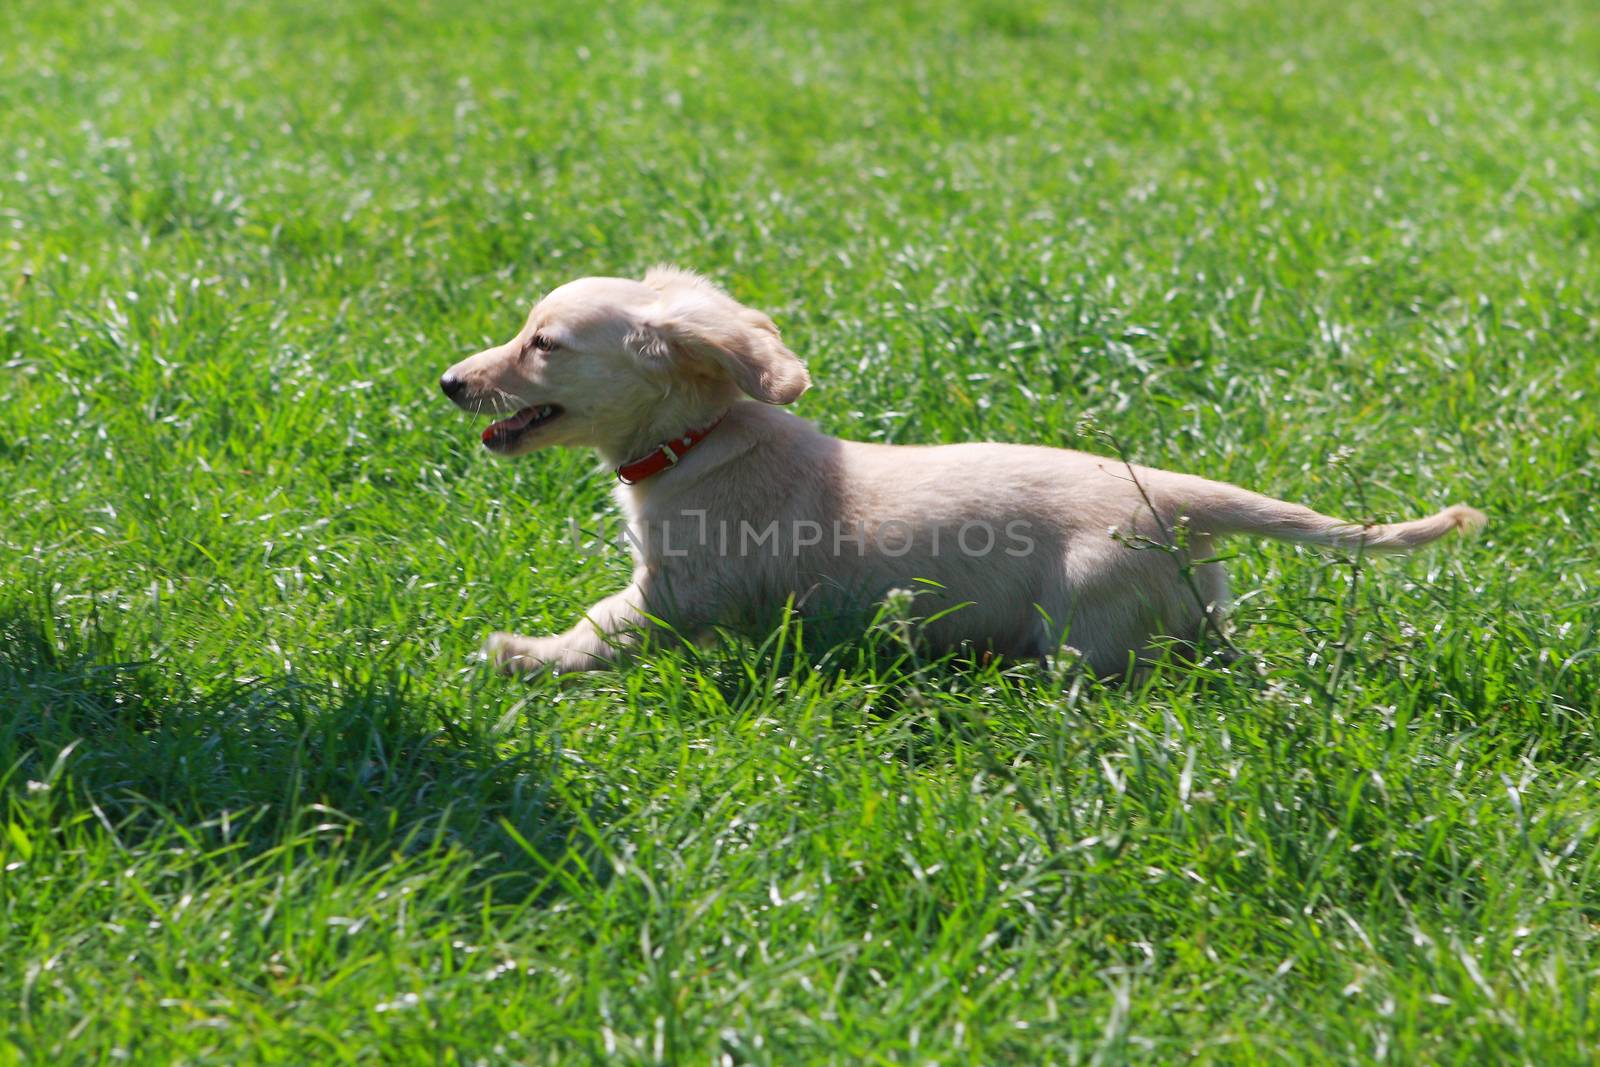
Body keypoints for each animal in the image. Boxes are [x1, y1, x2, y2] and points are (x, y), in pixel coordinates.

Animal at [441, 271, 1484, 681]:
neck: (700, 438)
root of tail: (1176, 497)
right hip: (1193, 615)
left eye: (543, 343)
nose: (448, 381)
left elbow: (597, 630)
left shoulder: (675, 591)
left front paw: (522, 653)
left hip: (1089, 620)